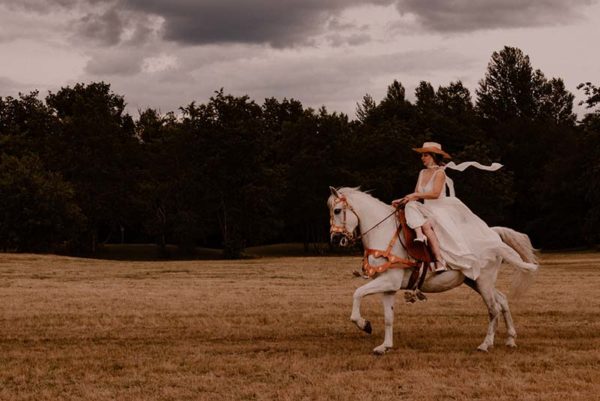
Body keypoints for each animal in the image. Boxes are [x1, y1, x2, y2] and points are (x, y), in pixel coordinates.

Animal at [328, 187, 540, 354]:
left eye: (337, 210)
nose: (335, 239)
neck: (384, 233)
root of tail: (492, 234)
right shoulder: (389, 287)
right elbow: (389, 317)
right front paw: (384, 346)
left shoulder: (388, 281)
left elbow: (357, 294)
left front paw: (364, 325)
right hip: (474, 281)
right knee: (502, 300)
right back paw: (510, 339)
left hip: (484, 281)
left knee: (493, 308)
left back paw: (485, 344)